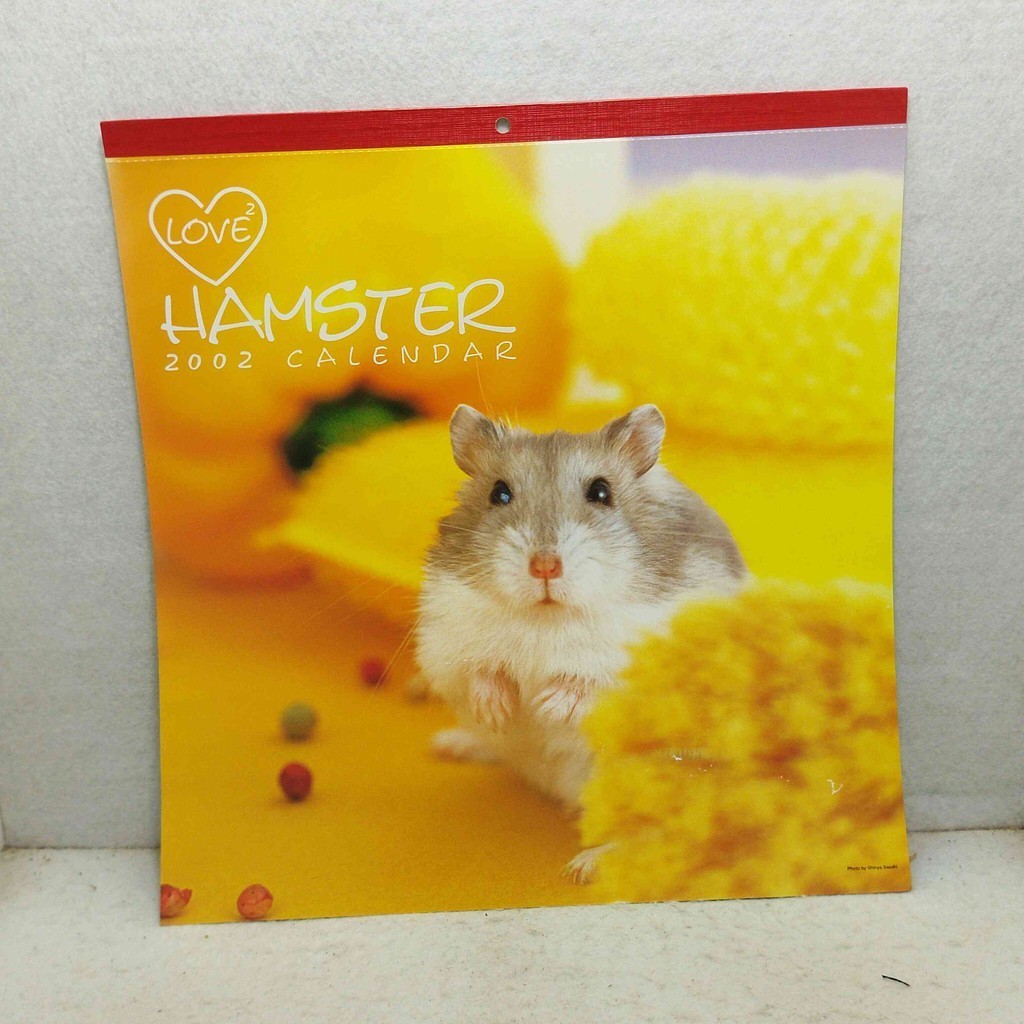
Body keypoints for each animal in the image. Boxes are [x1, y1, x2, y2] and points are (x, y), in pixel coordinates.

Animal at [416, 404, 746, 881]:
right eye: (499, 493)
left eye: (601, 492)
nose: (544, 566)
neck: (547, 616)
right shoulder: (447, 636)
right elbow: (480, 670)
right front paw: (501, 709)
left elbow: (592, 680)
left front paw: (548, 706)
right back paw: (452, 743)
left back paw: (586, 867)